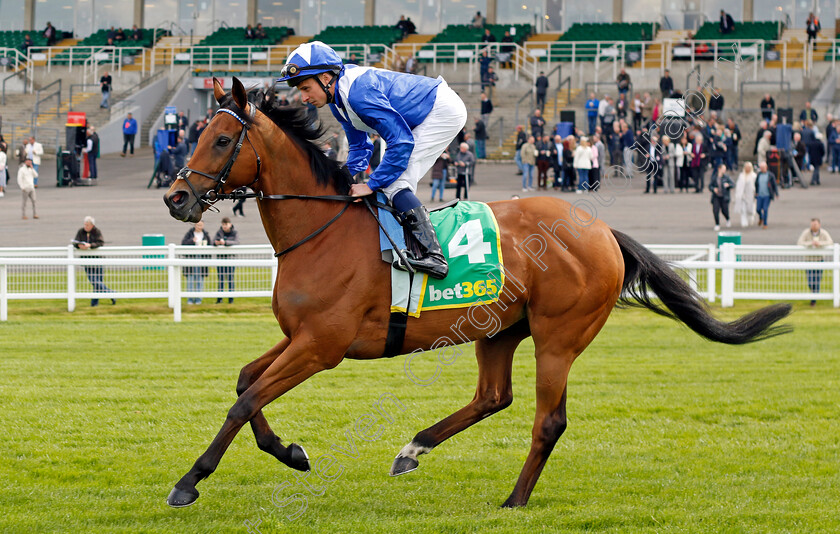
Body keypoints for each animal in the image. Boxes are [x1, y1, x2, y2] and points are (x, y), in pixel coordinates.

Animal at [161, 78, 792, 510]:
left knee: (547, 420)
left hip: (559, 336)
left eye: (221, 139)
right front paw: (291, 452)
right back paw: (413, 449)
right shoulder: (300, 337)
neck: (321, 230)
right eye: (196, 134)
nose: (175, 198)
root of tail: (600, 230)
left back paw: (514, 499)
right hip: (500, 329)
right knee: (493, 396)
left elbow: (245, 400)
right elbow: (246, 382)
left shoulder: (322, 346)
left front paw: (190, 480)